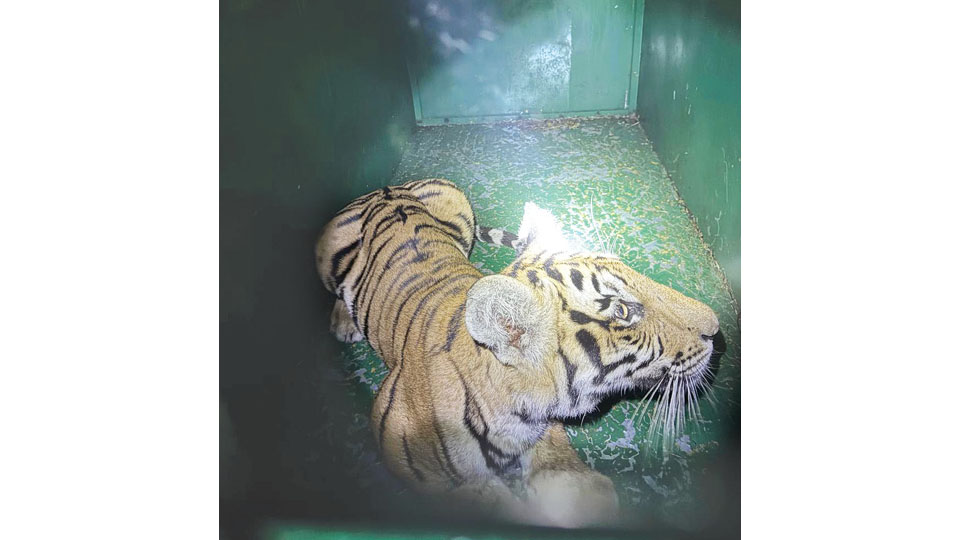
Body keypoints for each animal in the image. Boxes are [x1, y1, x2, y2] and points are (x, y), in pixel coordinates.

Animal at [315, 179, 720, 527]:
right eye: (622, 311)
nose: (717, 330)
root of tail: (382, 187)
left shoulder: (544, 430)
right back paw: (344, 323)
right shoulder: (410, 453)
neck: (516, 413)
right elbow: (484, 500)